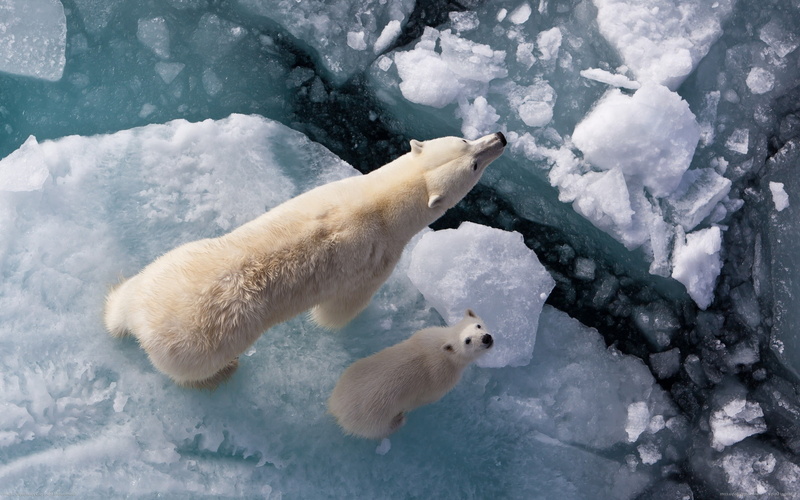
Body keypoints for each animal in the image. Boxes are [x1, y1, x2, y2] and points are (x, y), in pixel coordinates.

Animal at [104, 132, 506, 389]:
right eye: (473, 161)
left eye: (464, 141)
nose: (500, 137)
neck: (379, 203)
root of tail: (143, 322)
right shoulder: (376, 260)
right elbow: (340, 310)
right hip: (200, 345)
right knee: (193, 371)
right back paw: (225, 372)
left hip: (169, 265)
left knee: (126, 294)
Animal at [328, 309, 493, 440]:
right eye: (467, 341)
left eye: (478, 325)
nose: (486, 338)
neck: (441, 348)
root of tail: (336, 408)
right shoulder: (441, 380)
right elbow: (426, 399)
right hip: (372, 419)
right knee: (379, 430)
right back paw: (399, 420)